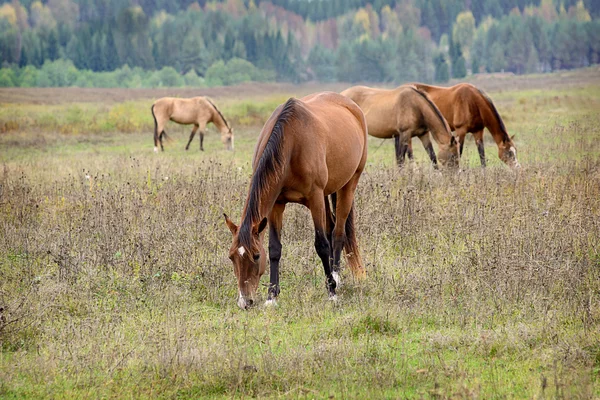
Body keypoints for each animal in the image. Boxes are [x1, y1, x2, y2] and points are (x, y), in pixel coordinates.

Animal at [224, 91, 368, 310]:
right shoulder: (276, 205)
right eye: (231, 256)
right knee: (331, 227)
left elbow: (321, 245)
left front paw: (332, 293)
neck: (291, 142)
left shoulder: (315, 198)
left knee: (338, 233)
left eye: (256, 256)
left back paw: (336, 277)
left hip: (348, 186)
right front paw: (272, 297)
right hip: (327, 194)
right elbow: (275, 248)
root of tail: (352, 105)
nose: (244, 301)